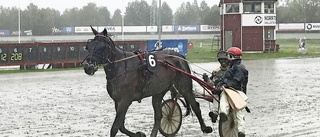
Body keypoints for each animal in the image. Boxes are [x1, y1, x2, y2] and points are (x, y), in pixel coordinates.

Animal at [82, 26, 212, 136]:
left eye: (102, 47)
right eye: (88, 47)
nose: (88, 66)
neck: (120, 66)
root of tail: (180, 56)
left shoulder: (125, 100)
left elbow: (115, 127)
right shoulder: (117, 101)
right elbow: (121, 126)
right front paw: (139, 134)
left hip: (184, 85)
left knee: (195, 105)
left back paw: (205, 128)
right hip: (158, 92)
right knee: (159, 115)